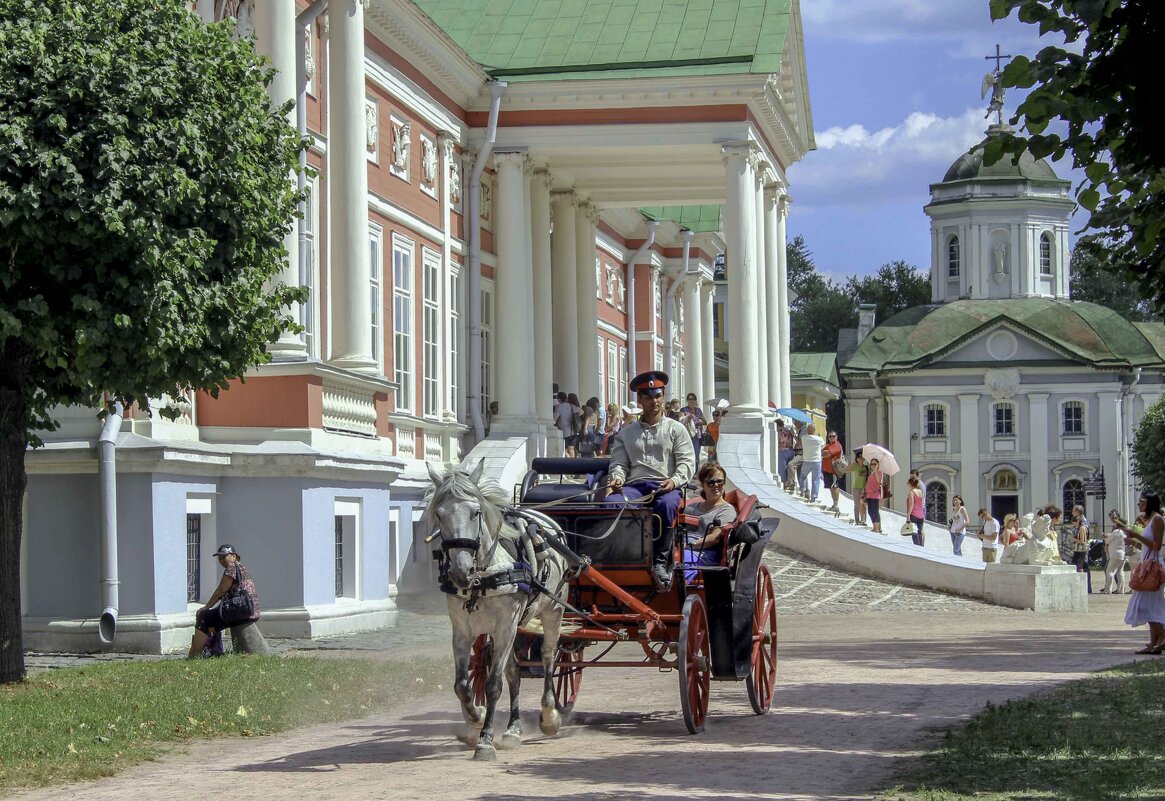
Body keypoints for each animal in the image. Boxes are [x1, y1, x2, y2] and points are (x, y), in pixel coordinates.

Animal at [428, 461, 573, 759]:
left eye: (476, 512)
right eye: (439, 513)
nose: (460, 572)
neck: (482, 576)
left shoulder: (506, 625)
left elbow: (494, 684)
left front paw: (484, 740)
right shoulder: (463, 630)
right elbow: (462, 685)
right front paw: (477, 717)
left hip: (552, 611)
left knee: (548, 657)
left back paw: (549, 715)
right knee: (514, 672)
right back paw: (513, 729)